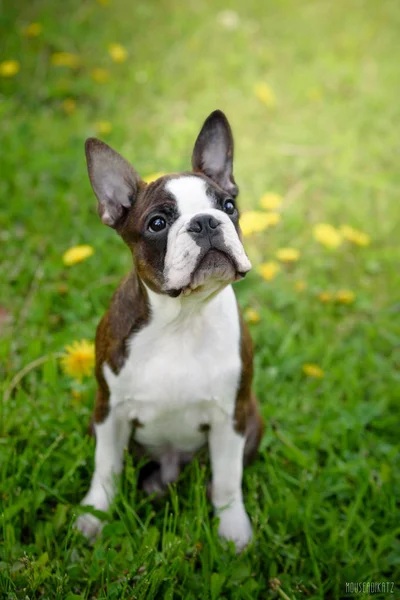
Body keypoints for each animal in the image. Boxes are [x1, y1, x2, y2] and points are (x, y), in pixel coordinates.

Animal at [77, 110, 266, 552]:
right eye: (158, 223)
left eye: (228, 206)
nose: (205, 222)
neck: (183, 319)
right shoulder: (109, 411)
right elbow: (106, 469)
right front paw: (94, 517)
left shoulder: (231, 417)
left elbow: (228, 480)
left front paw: (233, 530)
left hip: (253, 420)